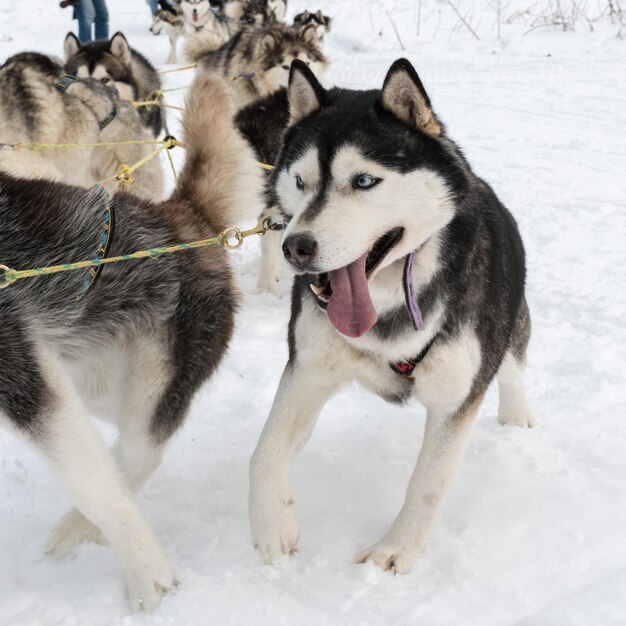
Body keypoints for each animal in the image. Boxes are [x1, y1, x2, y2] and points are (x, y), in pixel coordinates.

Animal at [249, 57, 532, 572]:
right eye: (300, 181)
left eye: (363, 181)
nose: (295, 248)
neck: (387, 308)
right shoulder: (308, 370)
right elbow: (264, 452)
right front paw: (271, 524)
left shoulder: (455, 396)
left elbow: (428, 483)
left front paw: (396, 550)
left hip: (503, 328)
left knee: (512, 367)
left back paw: (517, 417)